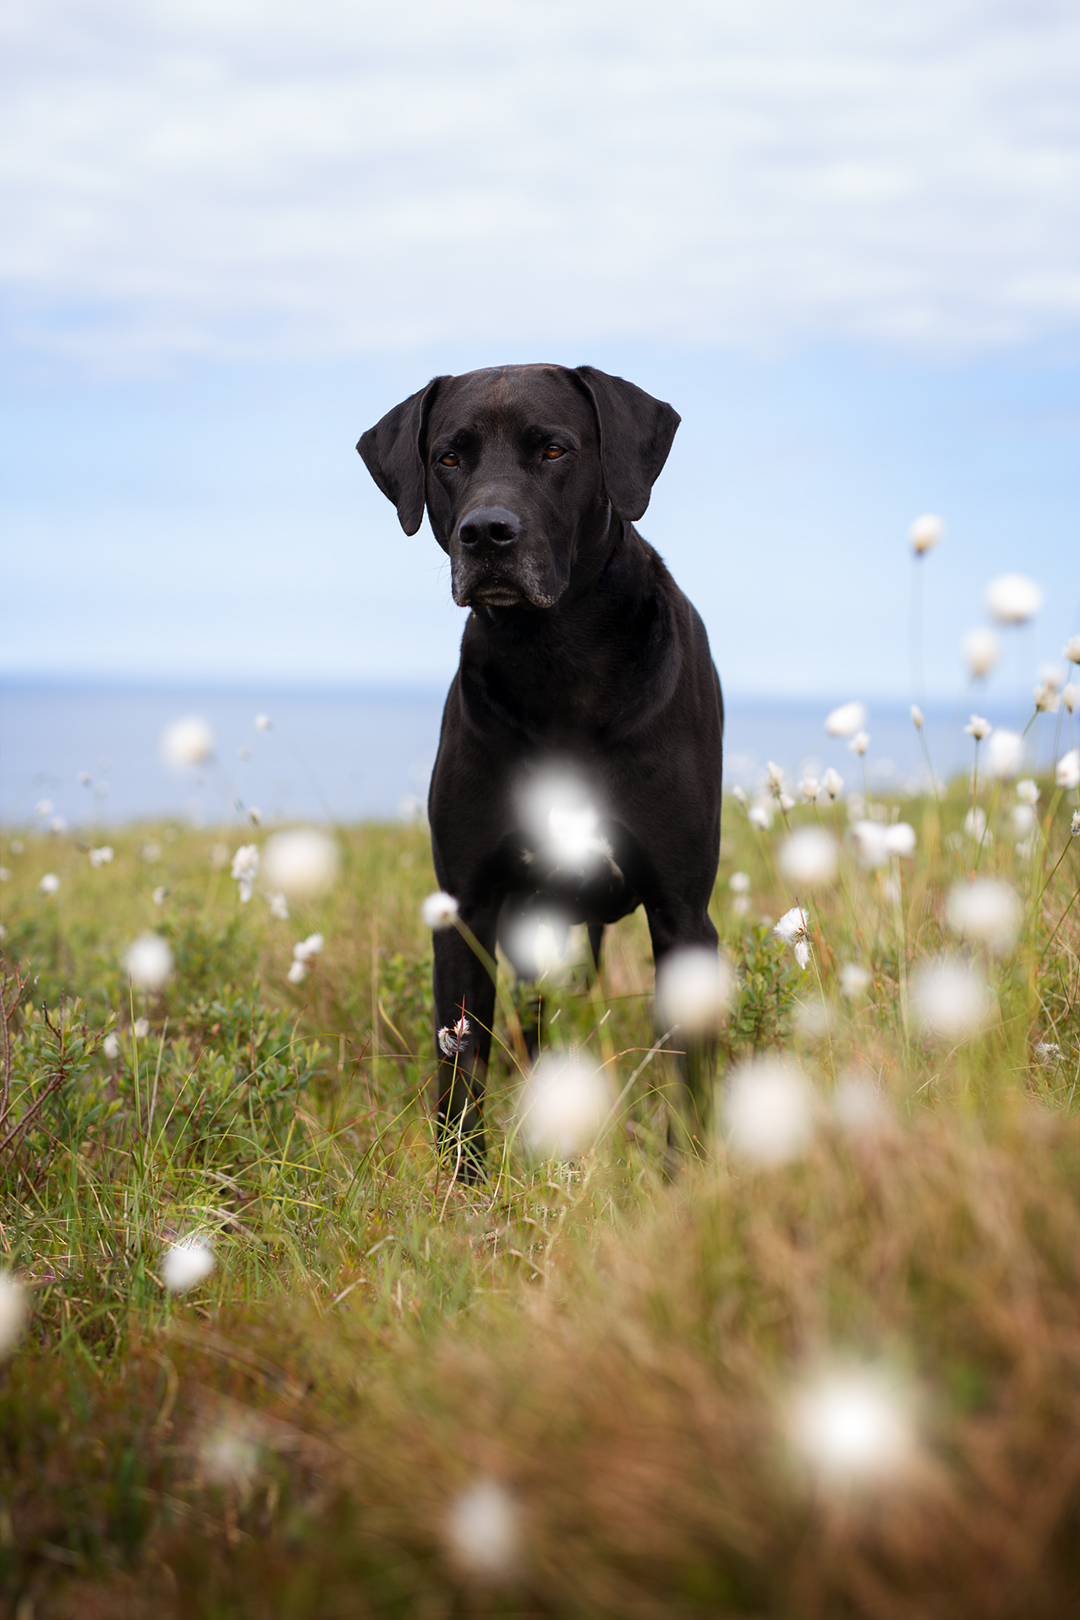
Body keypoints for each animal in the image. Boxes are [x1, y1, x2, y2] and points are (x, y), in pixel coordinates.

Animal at [359, 367, 722, 1179]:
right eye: (449, 457)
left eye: (553, 450)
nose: (486, 533)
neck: (556, 658)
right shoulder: (467, 908)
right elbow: (461, 1072)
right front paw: (464, 1187)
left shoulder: (682, 913)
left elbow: (688, 1075)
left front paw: (687, 1181)